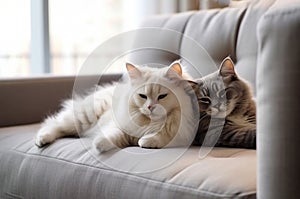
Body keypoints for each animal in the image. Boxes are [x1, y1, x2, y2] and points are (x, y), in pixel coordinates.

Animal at [35, 62, 198, 152]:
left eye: (162, 96)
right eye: (143, 96)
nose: (150, 107)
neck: (149, 123)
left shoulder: (181, 134)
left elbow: (160, 137)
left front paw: (145, 141)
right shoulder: (120, 126)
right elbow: (110, 135)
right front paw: (98, 144)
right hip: (83, 119)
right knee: (54, 124)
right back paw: (41, 140)